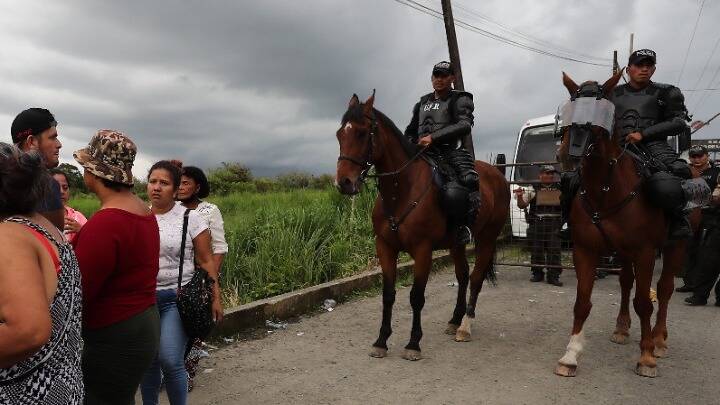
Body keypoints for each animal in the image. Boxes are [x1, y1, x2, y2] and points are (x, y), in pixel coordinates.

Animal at [334, 91, 510, 360]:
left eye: (363, 133)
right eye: (339, 134)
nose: (344, 182)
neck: (401, 190)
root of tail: (498, 174)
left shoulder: (422, 250)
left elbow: (416, 297)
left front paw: (413, 343)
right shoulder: (385, 248)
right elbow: (388, 295)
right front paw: (381, 340)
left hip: (488, 238)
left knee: (476, 278)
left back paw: (465, 326)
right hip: (457, 244)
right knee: (463, 275)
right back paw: (455, 320)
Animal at [556, 71, 700, 378]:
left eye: (601, 112)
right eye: (572, 109)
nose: (568, 154)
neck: (606, 191)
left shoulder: (645, 252)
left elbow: (645, 303)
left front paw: (646, 356)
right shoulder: (585, 250)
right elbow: (582, 302)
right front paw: (571, 355)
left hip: (676, 246)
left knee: (665, 289)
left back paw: (659, 340)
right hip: (622, 252)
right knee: (625, 282)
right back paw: (622, 328)